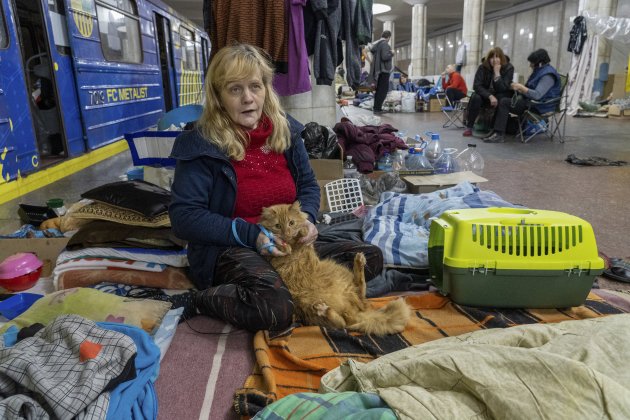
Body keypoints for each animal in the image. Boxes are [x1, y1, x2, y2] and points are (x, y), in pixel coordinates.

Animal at [260, 200, 412, 334]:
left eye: (291, 223)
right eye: (278, 226)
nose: (286, 233)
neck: (292, 244)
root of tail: (357, 312)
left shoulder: (304, 243)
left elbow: (303, 233)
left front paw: (301, 231)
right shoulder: (272, 255)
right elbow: (279, 246)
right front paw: (284, 244)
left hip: (340, 273)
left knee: (356, 300)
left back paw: (359, 261)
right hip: (304, 305)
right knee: (342, 323)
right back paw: (324, 309)